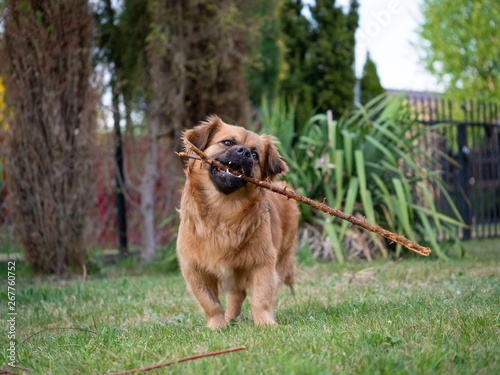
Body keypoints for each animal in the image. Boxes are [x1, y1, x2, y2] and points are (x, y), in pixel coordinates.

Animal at [178, 116, 298, 330]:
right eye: (227, 142)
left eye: (255, 154)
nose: (244, 152)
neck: (224, 209)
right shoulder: (194, 269)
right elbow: (210, 302)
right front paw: (217, 326)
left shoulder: (263, 263)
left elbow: (260, 298)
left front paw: (266, 324)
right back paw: (230, 320)